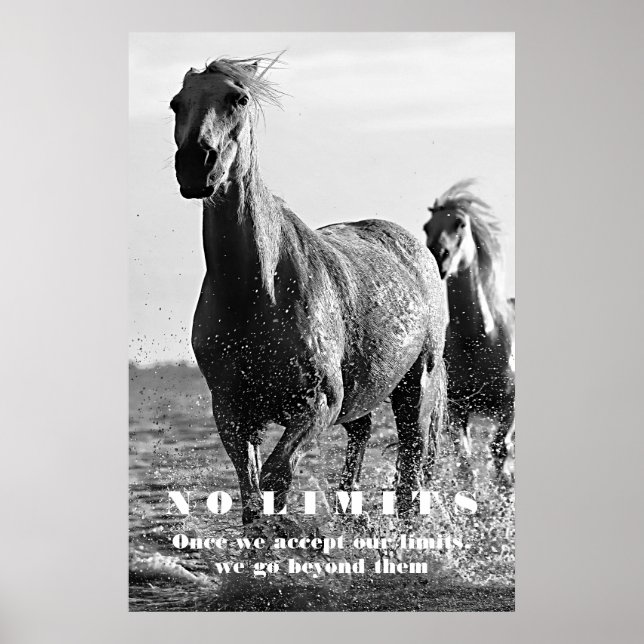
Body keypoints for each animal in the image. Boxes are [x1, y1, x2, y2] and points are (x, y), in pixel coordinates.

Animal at [169, 57, 448, 525]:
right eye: (176, 103)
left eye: (238, 99)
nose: (196, 164)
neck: (257, 294)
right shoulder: (232, 412)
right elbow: (252, 497)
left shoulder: (316, 404)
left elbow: (276, 479)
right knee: (362, 438)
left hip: (417, 387)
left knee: (412, 467)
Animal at [423, 180, 515, 479]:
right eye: (427, 226)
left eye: (460, 224)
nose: (438, 256)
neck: (479, 338)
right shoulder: (458, 409)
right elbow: (465, 460)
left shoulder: (508, 409)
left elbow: (500, 453)